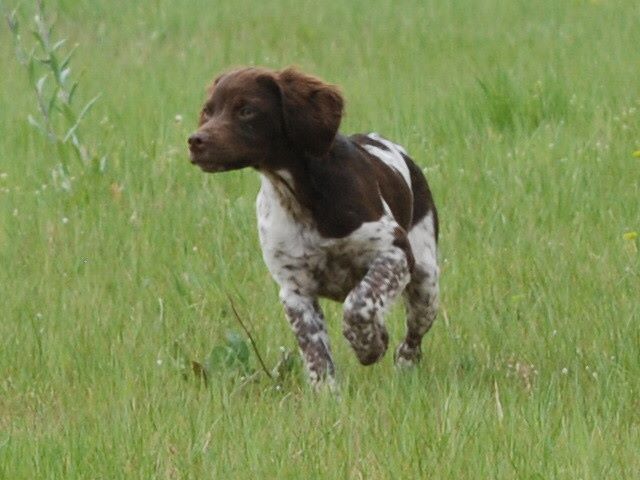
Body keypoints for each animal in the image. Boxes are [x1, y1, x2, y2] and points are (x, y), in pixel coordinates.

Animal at [189, 67, 440, 390]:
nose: (195, 141)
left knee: (413, 337)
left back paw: (404, 365)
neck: (301, 196)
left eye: (246, 110)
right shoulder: (295, 290)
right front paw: (327, 393)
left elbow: (358, 304)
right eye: (208, 111)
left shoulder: (394, 252)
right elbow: (315, 350)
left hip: (425, 280)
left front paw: (370, 345)